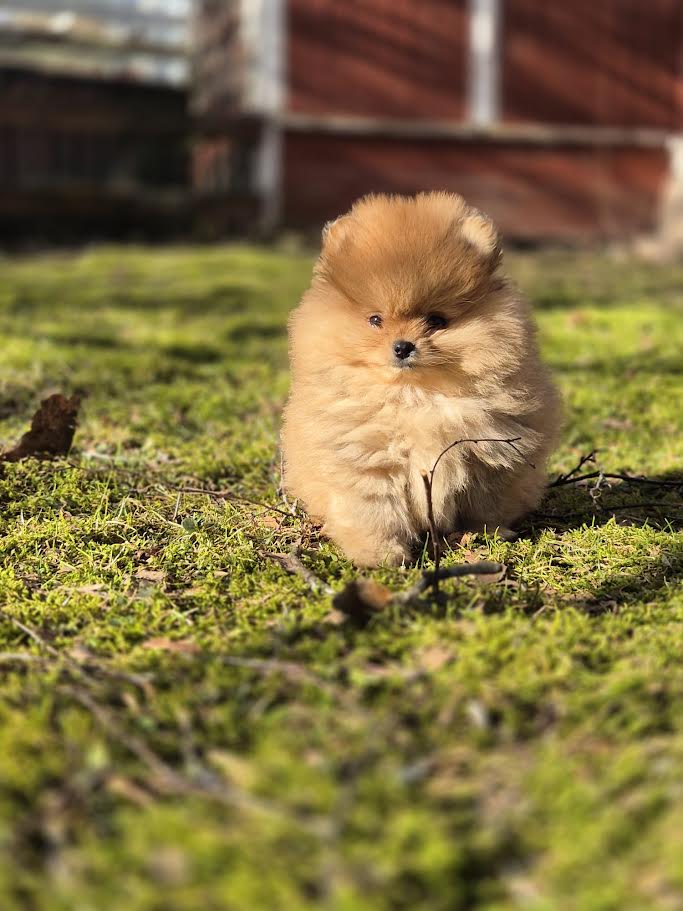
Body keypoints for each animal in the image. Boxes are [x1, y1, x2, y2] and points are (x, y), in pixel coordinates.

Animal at [282, 192, 561, 567]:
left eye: (436, 320)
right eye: (375, 320)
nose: (403, 346)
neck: (416, 396)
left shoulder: (490, 455)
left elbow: (484, 505)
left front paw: (484, 535)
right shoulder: (363, 461)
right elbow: (373, 512)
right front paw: (381, 555)